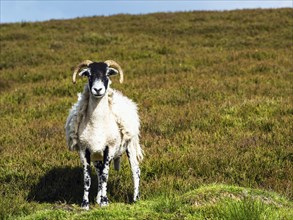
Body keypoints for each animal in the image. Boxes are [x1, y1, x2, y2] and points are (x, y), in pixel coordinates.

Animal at [66, 60, 144, 210]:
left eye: (107, 73)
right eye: (88, 74)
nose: (97, 90)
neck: (98, 124)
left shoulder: (110, 148)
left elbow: (105, 176)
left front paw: (104, 202)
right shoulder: (84, 150)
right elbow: (88, 178)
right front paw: (85, 204)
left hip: (130, 145)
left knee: (135, 171)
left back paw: (135, 199)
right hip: (97, 154)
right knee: (98, 171)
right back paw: (98, 197)